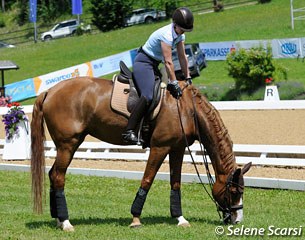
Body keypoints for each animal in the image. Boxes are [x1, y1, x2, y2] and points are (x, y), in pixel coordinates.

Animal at [30, 76, 252, 231]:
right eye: (235, 192)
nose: (237, 220)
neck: (187, 109)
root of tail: (50, 91)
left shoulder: (177, 148)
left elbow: (175, 183)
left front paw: (180, 218)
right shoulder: (159, 147)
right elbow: (147, 179)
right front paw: (136, 218)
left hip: (66, 146)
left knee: (53, 174)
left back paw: (58, 219)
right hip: (68, 144)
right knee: (59, 176)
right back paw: (66, 222)